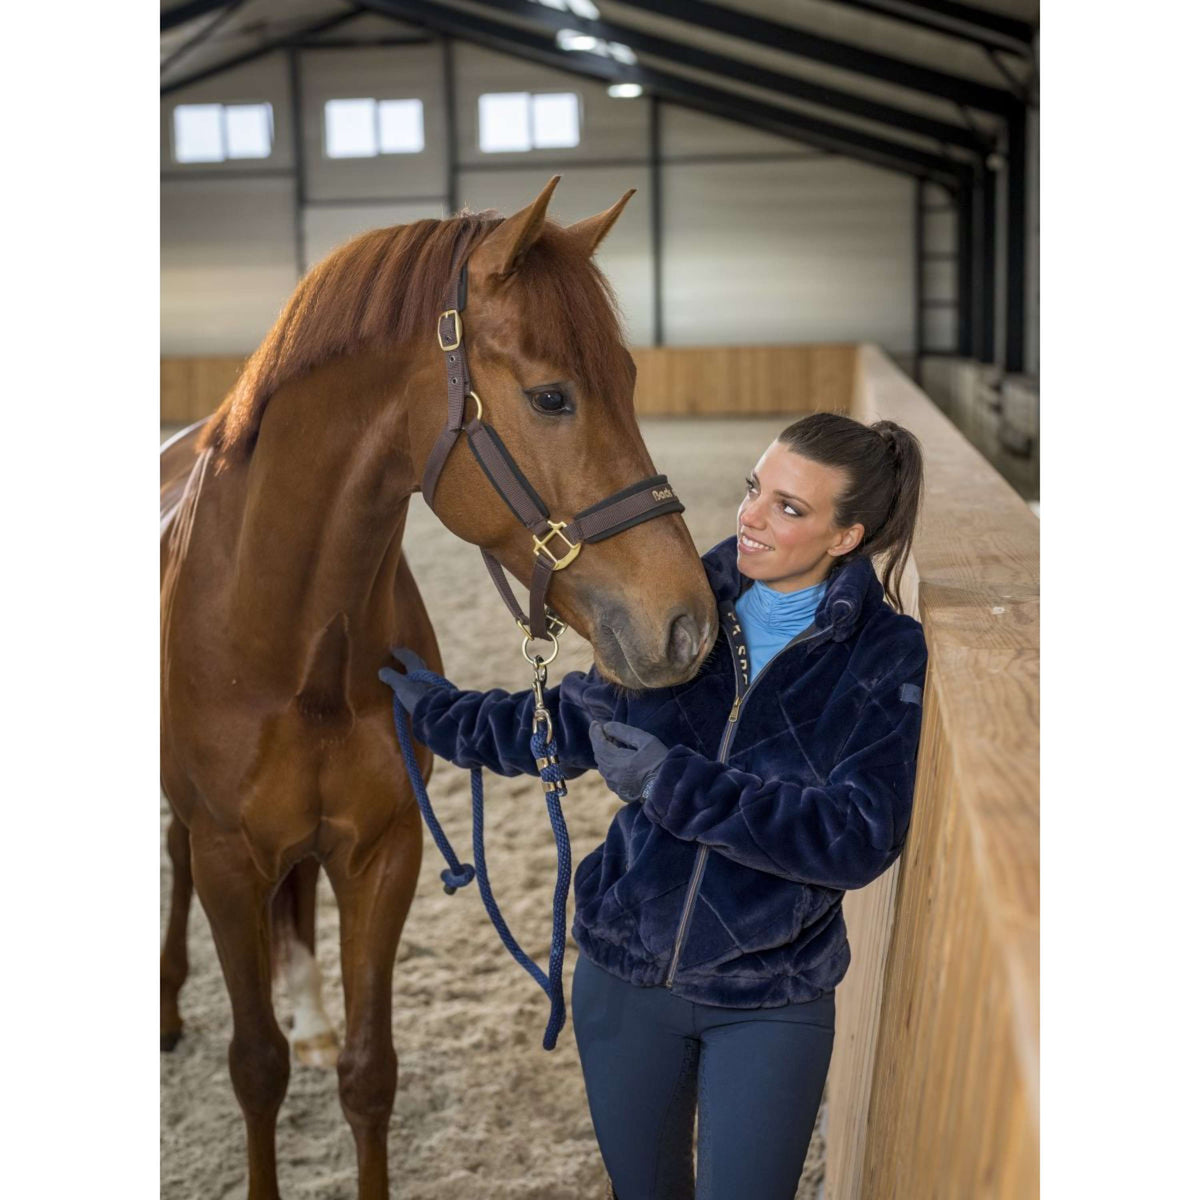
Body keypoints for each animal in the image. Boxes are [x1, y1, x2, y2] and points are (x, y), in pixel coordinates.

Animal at [163, 177, 715, 1200]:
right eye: (551, 396)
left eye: (629, 379)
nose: (687, 624)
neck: (290, 642)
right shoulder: (228, 860)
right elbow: (254, 1067)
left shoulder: (385, 853)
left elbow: (368, 1074)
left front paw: (330, 1040)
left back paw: (309, 1011)